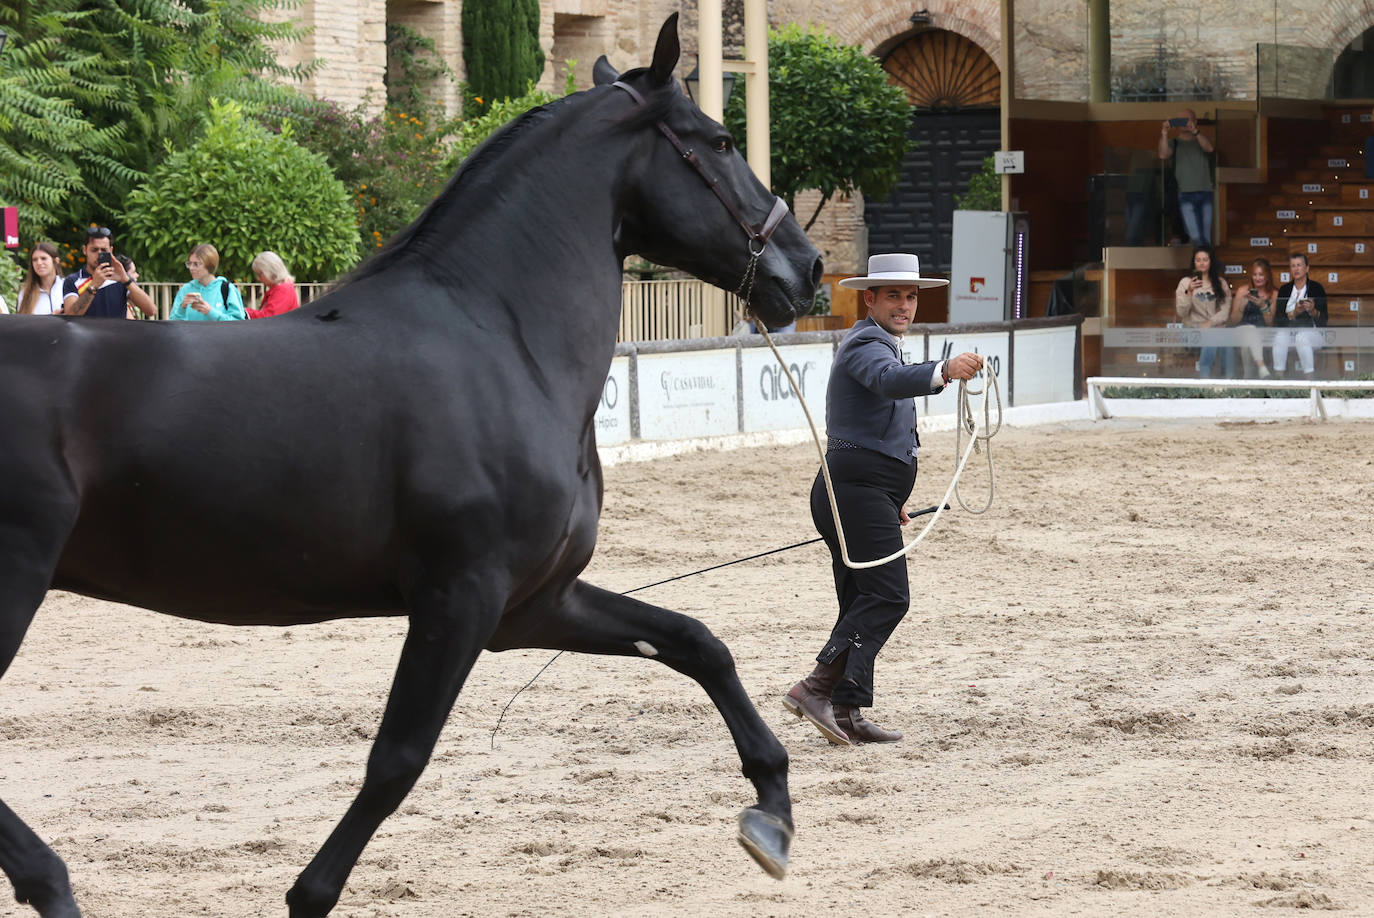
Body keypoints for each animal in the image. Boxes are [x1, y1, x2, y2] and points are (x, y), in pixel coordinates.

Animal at [0, 16, 813, 918]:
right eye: (721, 141)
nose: (806, 268)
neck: (501, 340)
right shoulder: (460, 597)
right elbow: (397, 759)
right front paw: (308, 894)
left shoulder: (531, 605)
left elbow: (696, 643)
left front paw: (772, 815)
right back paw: (53, 885)